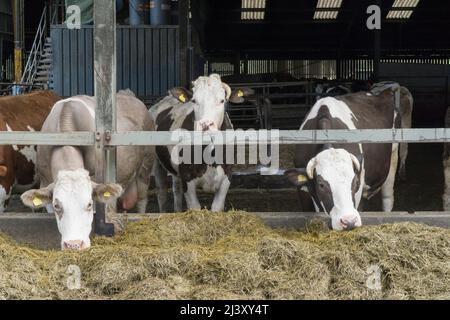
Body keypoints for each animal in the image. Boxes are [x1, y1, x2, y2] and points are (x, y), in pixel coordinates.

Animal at [21, 90, 155, 250]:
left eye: (89, 204)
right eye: (57, 205)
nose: (74, 244)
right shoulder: (45, 181)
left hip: (147, 165)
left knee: (142, 199)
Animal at [150, 74, 251, 212]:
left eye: (222, 101)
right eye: (194, 101)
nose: (206, 124)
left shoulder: (227, 177)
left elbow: (217, 207)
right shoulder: (187, 178)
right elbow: (195, 208)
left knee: (176, 190)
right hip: (157, 162)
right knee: (162, 193)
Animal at [284, 87, 400, 230]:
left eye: (355, 181)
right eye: (321, 185)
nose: (349, 221)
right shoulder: (302, 190)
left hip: (393, 155)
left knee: (387, 197)